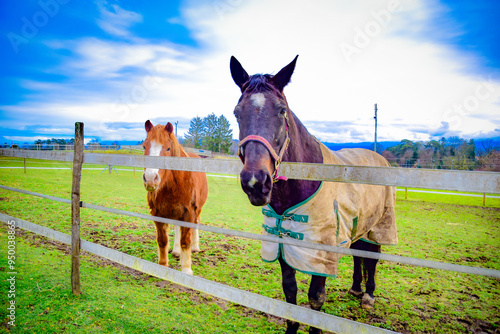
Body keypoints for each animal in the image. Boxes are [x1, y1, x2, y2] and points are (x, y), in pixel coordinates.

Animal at [144, 121, 208, 276]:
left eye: (168, 148)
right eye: (144, 146)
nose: (150, 179)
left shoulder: (189, 213)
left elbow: (186, 241)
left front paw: (186, 270)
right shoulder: (158, 213)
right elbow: (162, 241)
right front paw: (162, 265)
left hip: (197, 210)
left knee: (196, 223)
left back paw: (195, 247)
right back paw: (176, 250)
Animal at [230, 56, 398, 332]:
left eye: (282, 110)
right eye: (237, 112)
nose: (255, 182)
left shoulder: (322, 251)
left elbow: (316, 299)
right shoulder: (283, 246)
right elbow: (290, 292)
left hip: (379, 225)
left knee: (372, 257)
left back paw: (368, 296)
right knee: (358, 254)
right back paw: (355, 288)